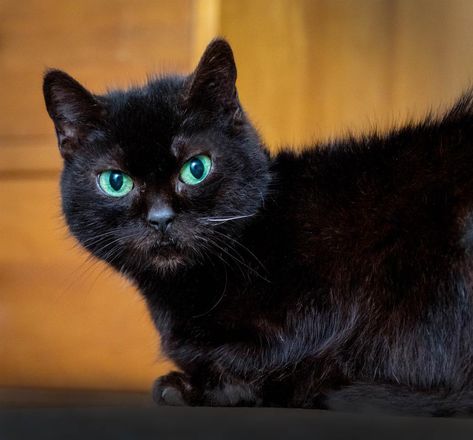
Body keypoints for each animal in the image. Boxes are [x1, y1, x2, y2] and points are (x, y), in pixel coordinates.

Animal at [42, 38, 472, 416]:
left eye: (196, 168)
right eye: (116, 181)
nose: (161, 218)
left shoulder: (319, 312)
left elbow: (266, 360)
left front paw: (195, 388)